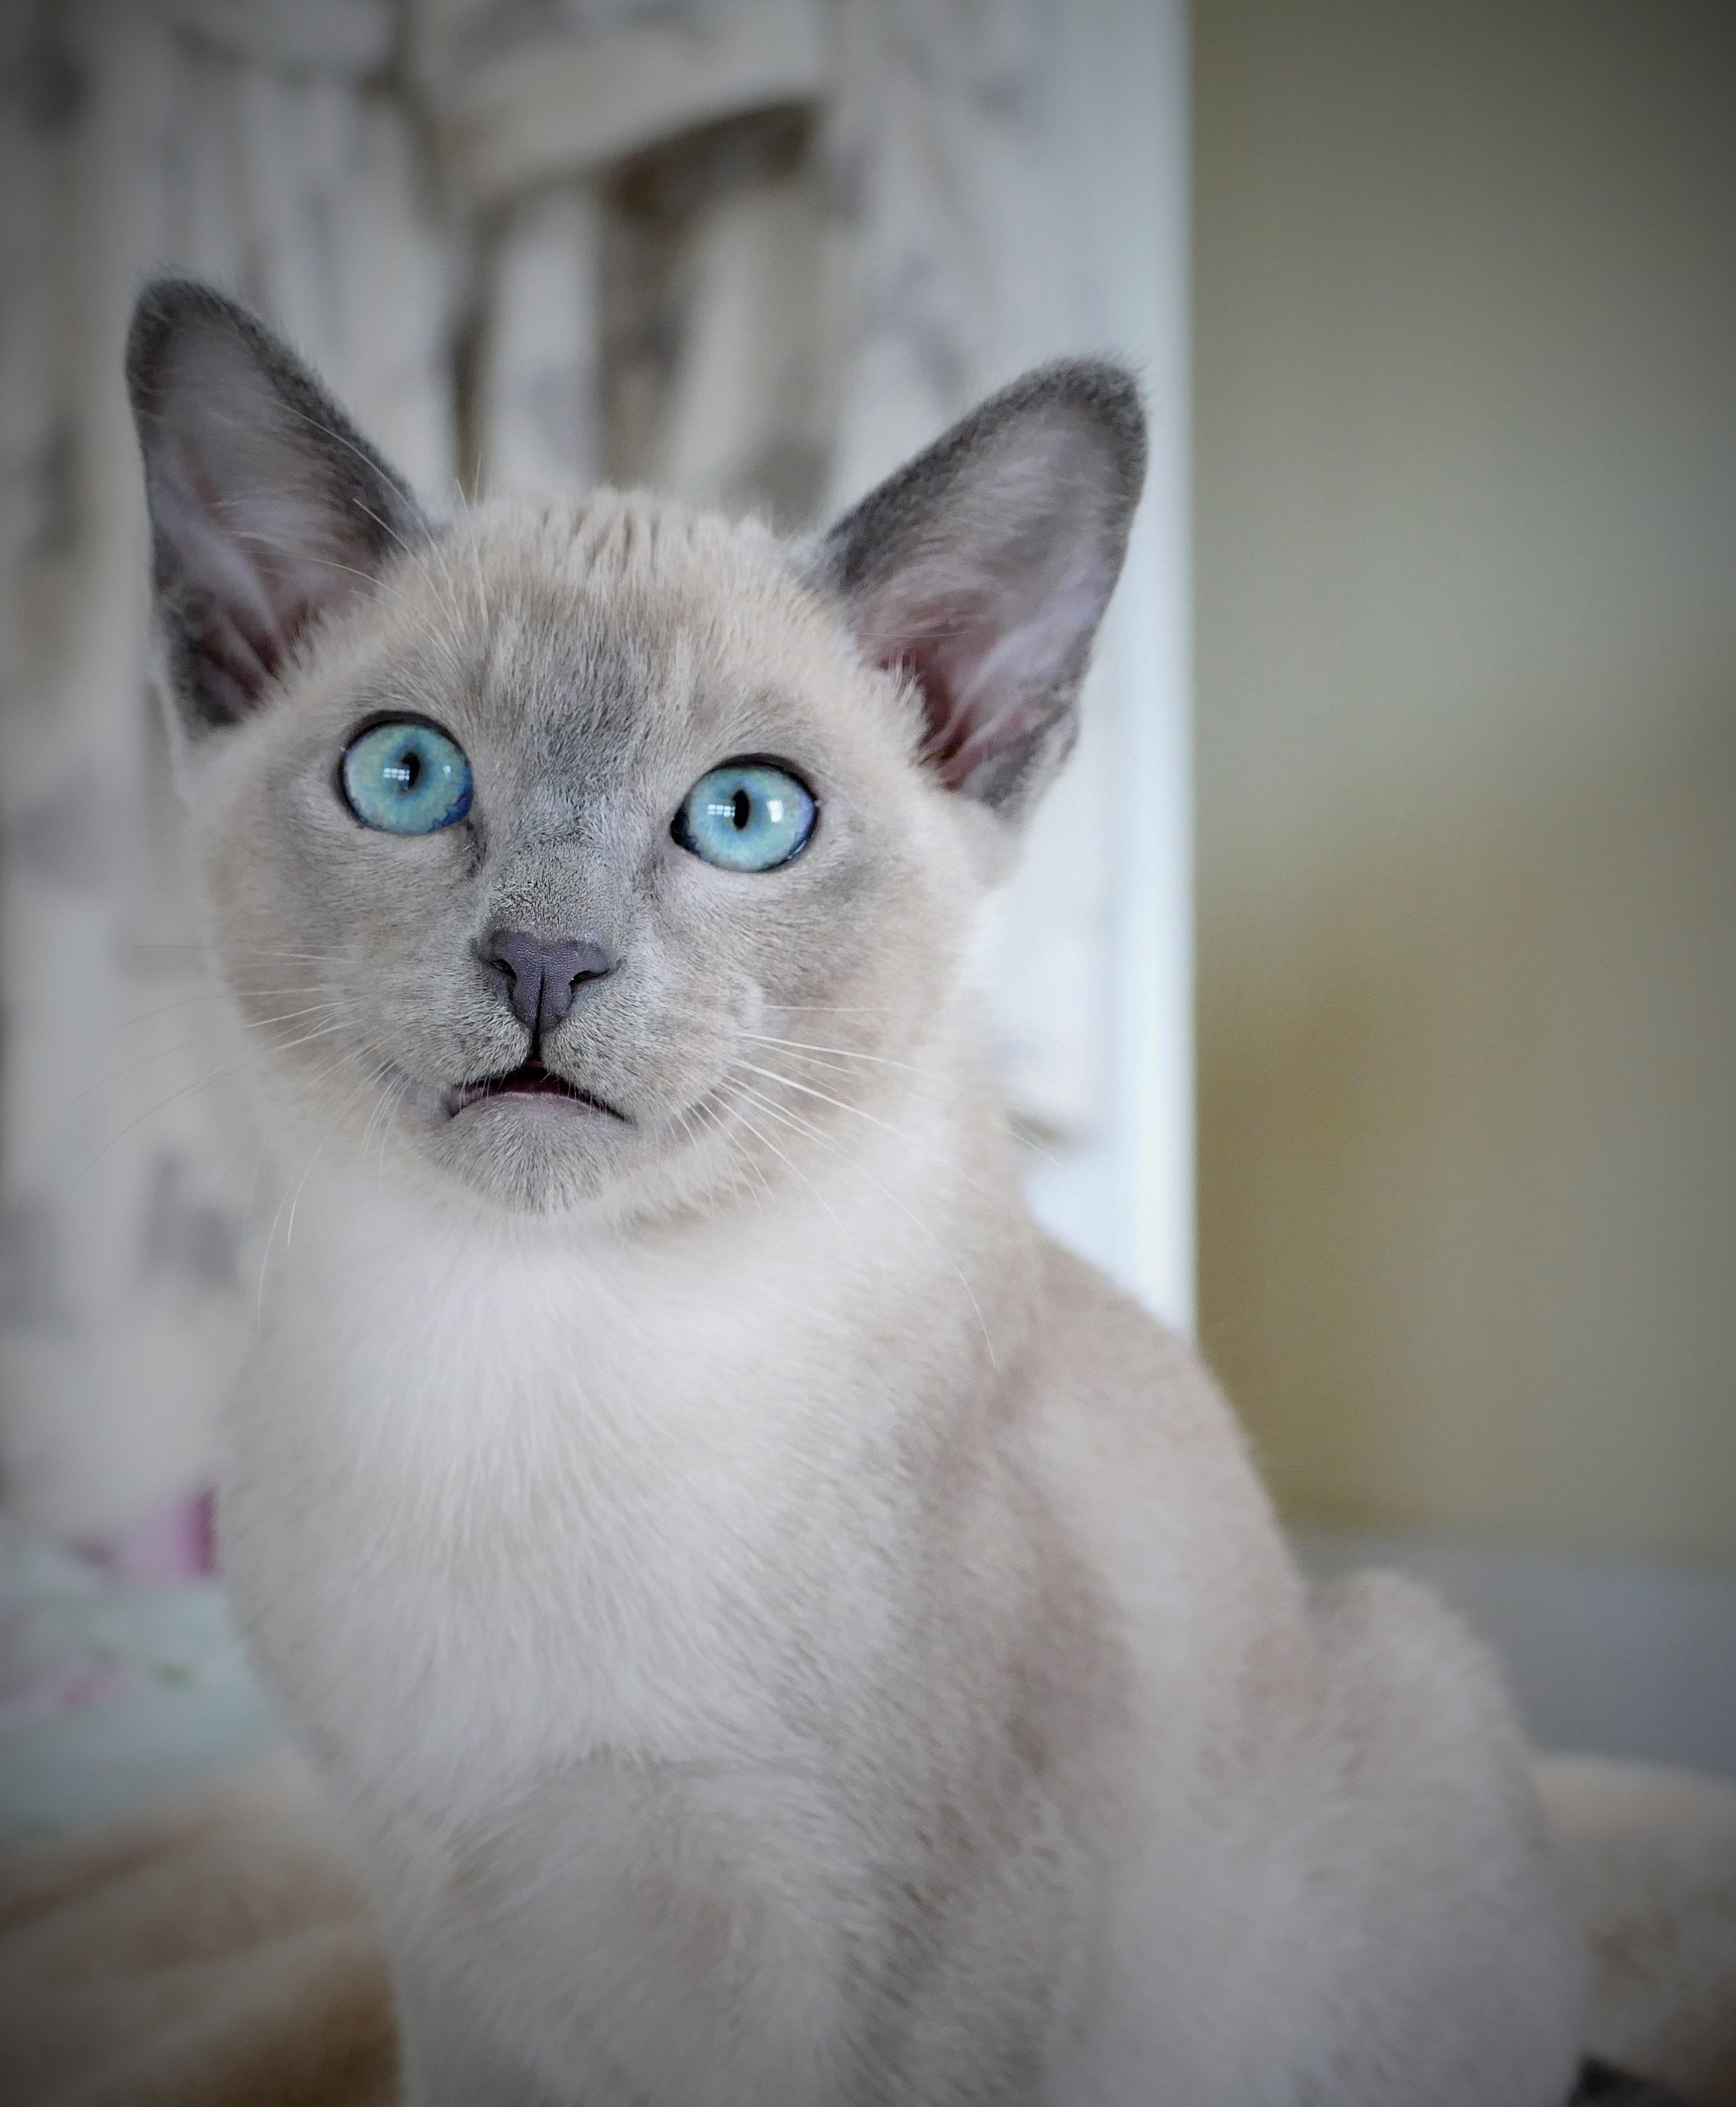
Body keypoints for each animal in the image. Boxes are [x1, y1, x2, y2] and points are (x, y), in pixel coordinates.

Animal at [122, 280, 1584, 2107]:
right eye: (405, 778)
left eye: (748, 817)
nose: (545, 960)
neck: (519, 1357)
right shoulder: (449, 1960)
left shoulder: (901, 1984)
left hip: (1403, 1704)